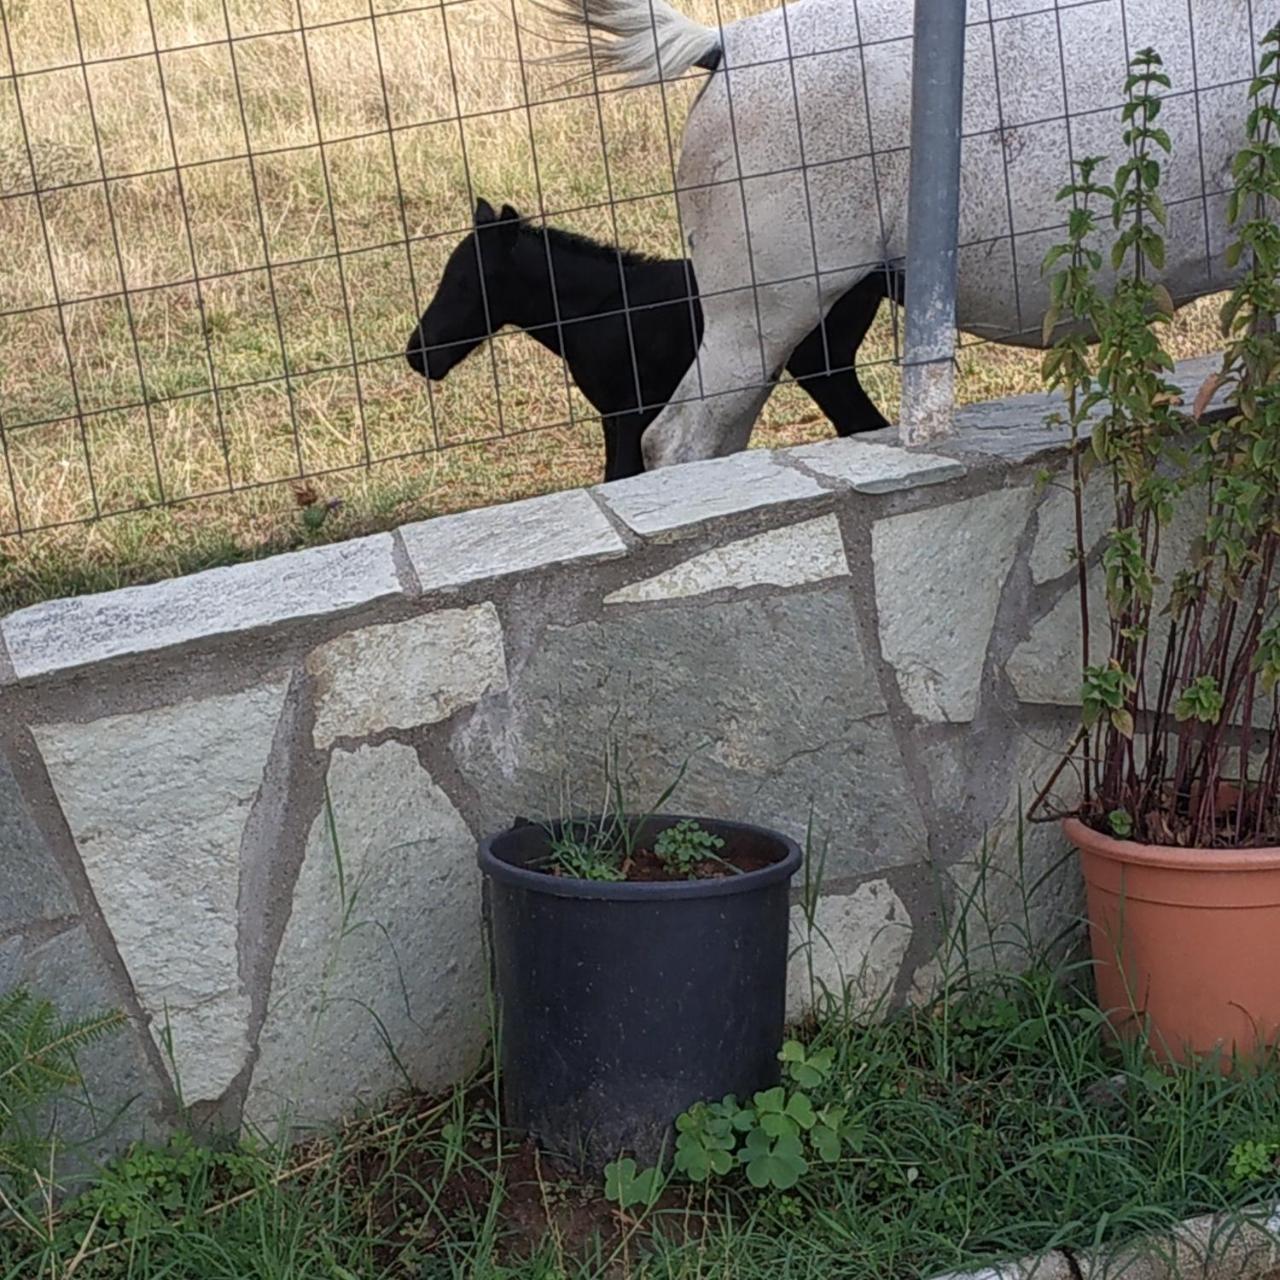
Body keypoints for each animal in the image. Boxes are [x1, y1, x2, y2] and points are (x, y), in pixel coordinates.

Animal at [404, 199, 896, 481]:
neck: (603, 306)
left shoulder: (630, 412)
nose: (418, 355)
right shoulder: (612, 417)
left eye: (467, 283)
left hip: (820, 365)